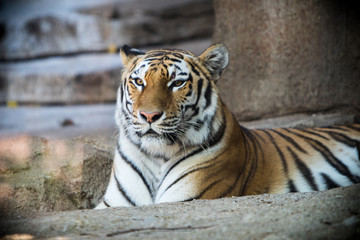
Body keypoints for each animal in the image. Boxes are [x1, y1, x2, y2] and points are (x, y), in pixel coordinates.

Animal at [95, 44, 360, 209]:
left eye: (177, 83)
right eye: (139, 82)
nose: (149, 116)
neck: (158, 154)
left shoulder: (187, 197)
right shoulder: (114, 204)